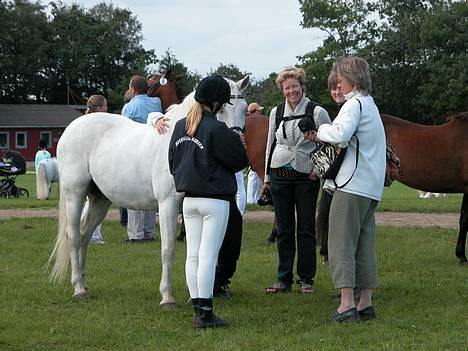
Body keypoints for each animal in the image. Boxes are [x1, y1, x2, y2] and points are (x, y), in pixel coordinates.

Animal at [48, 76, 249, 308]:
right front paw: (167, 297)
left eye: (245, 109)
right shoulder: (168, 205)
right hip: (75, 194)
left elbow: (195, 251)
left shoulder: (190, 209)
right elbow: (168, 249)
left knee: (84, 236)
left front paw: (194, 296)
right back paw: (78, 288)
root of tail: (72, 128)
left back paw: (84, 283)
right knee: (73, 236)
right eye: (222, 110)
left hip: (100, 200)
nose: (237, 149)